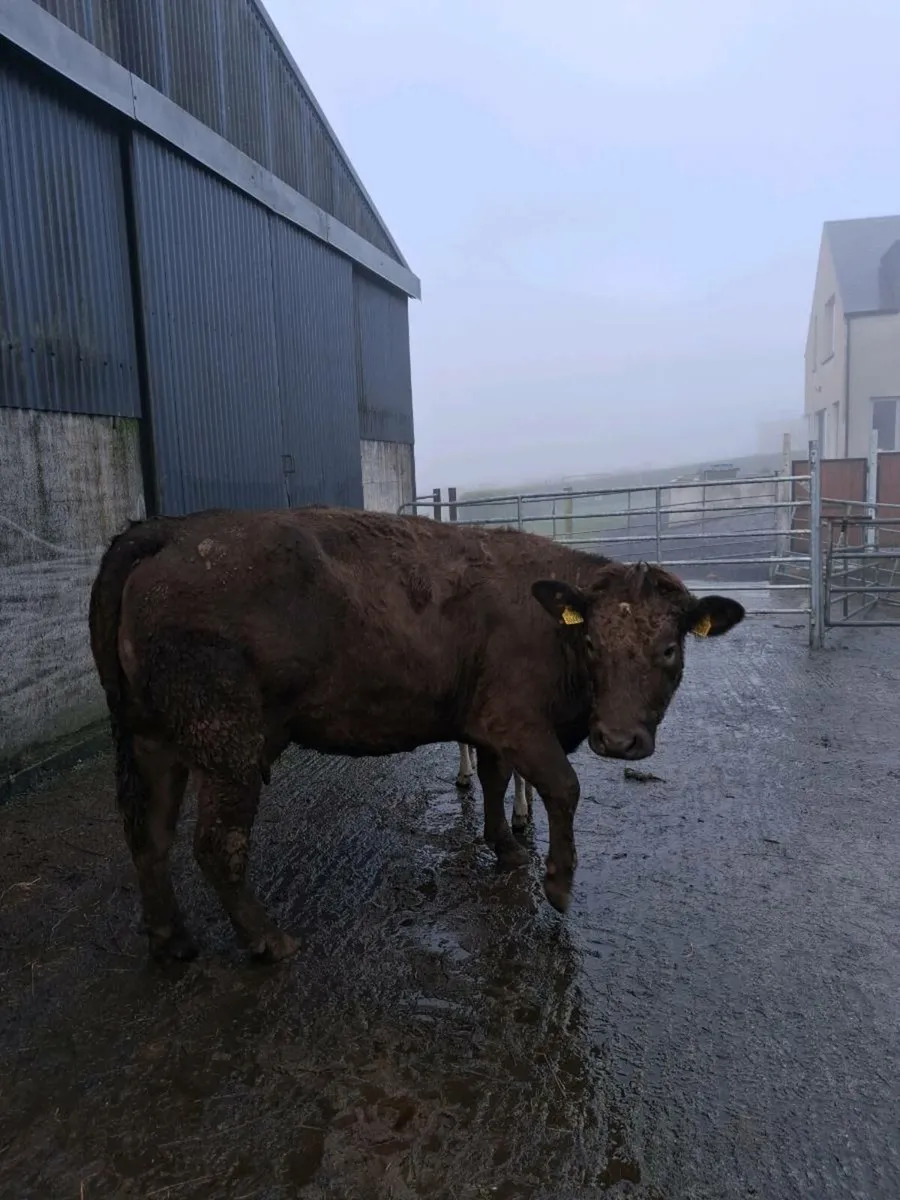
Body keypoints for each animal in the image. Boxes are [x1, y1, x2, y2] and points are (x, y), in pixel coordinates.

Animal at [88, 505, 744, 964]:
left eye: (668, 649)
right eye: (591, 643)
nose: (618, 740)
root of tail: (169, 531)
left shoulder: (490, 724)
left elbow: (494, 779)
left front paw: (504, 847)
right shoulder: (519, 722)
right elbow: (563, 787)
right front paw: (557, 882)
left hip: (153, 738)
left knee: (148, 833)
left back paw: (171, 938)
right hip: (228, 742)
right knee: (215, 843)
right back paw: (266, 940)